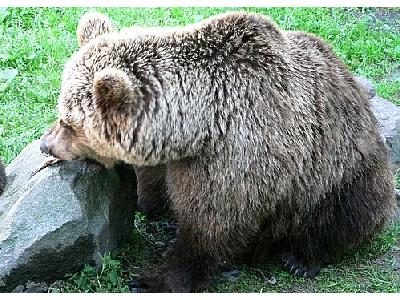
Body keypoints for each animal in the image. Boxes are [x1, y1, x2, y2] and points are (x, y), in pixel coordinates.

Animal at [40, 12, 396, 292]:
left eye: (69, 122)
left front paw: (155, 278)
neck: (196, 126)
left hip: (338, 167)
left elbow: (213, 225)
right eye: (61, 111)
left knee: (347, 213)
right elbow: (154, 180)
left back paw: (302, 258)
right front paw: (145, 201)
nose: (46, 144)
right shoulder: (173, 157)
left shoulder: (236, 156)